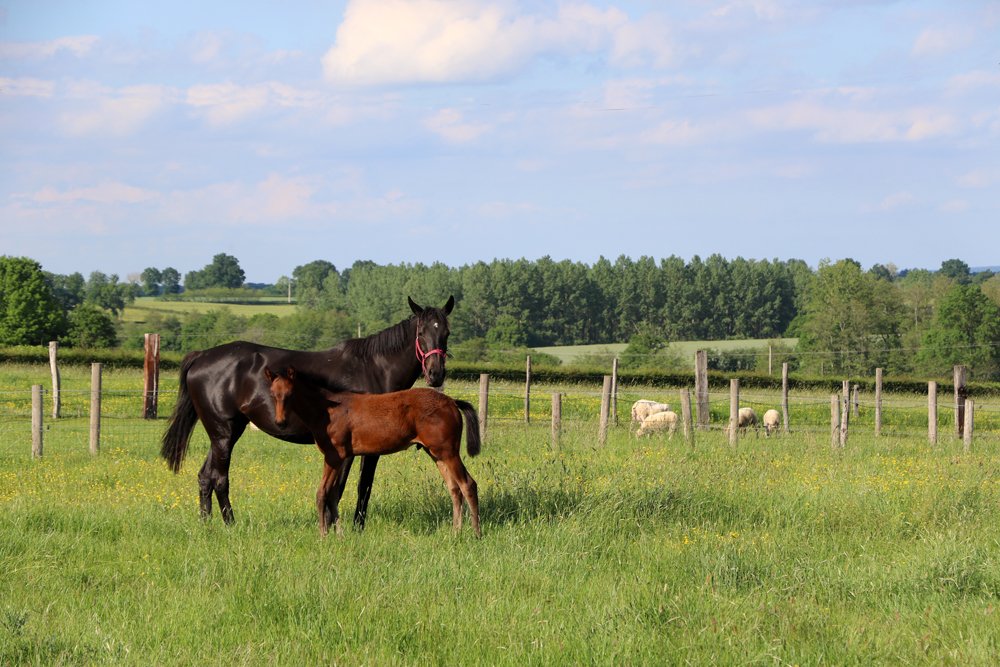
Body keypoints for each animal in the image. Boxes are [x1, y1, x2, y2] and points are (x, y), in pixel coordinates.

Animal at [160, 295, 454, 528]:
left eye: (446, 333)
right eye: (421, 333)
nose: (435, 374)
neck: (374, 368)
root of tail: (201, 356)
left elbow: (353, 487)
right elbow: (353, 487)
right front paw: (348, 527)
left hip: (223, 433)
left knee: (205, 477)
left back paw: (207, 524)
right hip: (224, 432)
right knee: (220, 479)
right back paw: (231, 525)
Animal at [265, 365, 481, 537]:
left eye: (290, 395)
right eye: (273, 395)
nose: (280, 422)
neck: (327, 411)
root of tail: (452, 402)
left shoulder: (333, 456)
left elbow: (322, 493)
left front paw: (323, 535)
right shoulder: (342, 457)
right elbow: (334, 493)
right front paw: (339, 534)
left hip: (448, 451)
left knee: (468, 484)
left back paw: (476, 533)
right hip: (436, 453)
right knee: (454, 488)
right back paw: (455, 532)